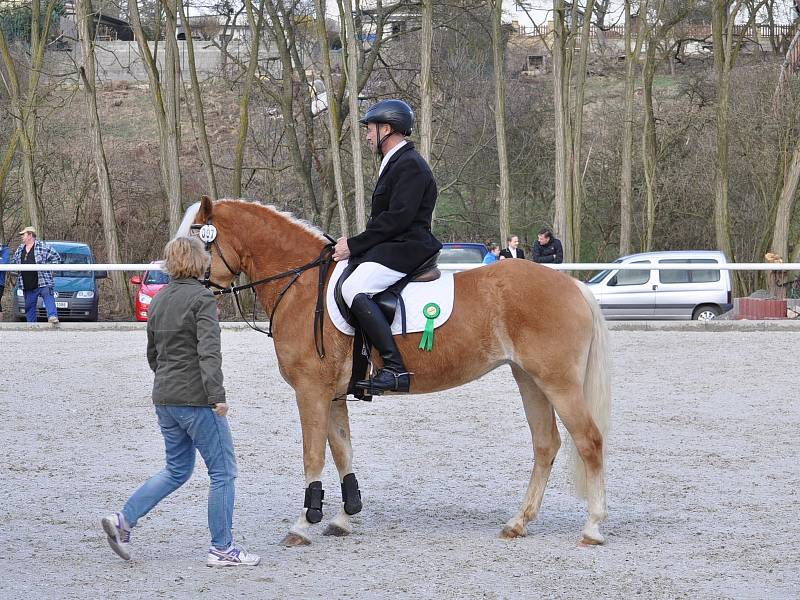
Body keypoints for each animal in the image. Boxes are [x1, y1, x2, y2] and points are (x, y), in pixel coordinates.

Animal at [178, 198, 608, 548]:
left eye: (200, 237)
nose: (178, 283)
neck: (301, 285)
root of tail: (572, 285)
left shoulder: (310, 391)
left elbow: (313, 454)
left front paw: (303, 524)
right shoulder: (333, 394)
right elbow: (342, 450)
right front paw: (344, 517)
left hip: (557, 383)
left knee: (588, 441)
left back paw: (592, 527)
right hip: (529, 380)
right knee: (546, 445)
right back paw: (519, 522)